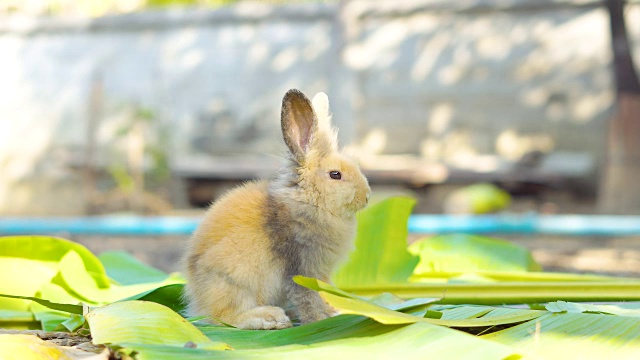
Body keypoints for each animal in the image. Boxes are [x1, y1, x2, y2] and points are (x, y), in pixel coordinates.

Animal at [181, 89, 370, 330]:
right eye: (335, 175)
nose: (367, 196)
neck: (309, 201)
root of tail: (196, 300)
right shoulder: (300, 269)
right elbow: (308, 298)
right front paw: (318, 321)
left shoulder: (320, 275)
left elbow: (323, 296)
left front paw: (334, 312)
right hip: (233, 282)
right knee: (224, 317)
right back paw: (269, 318)